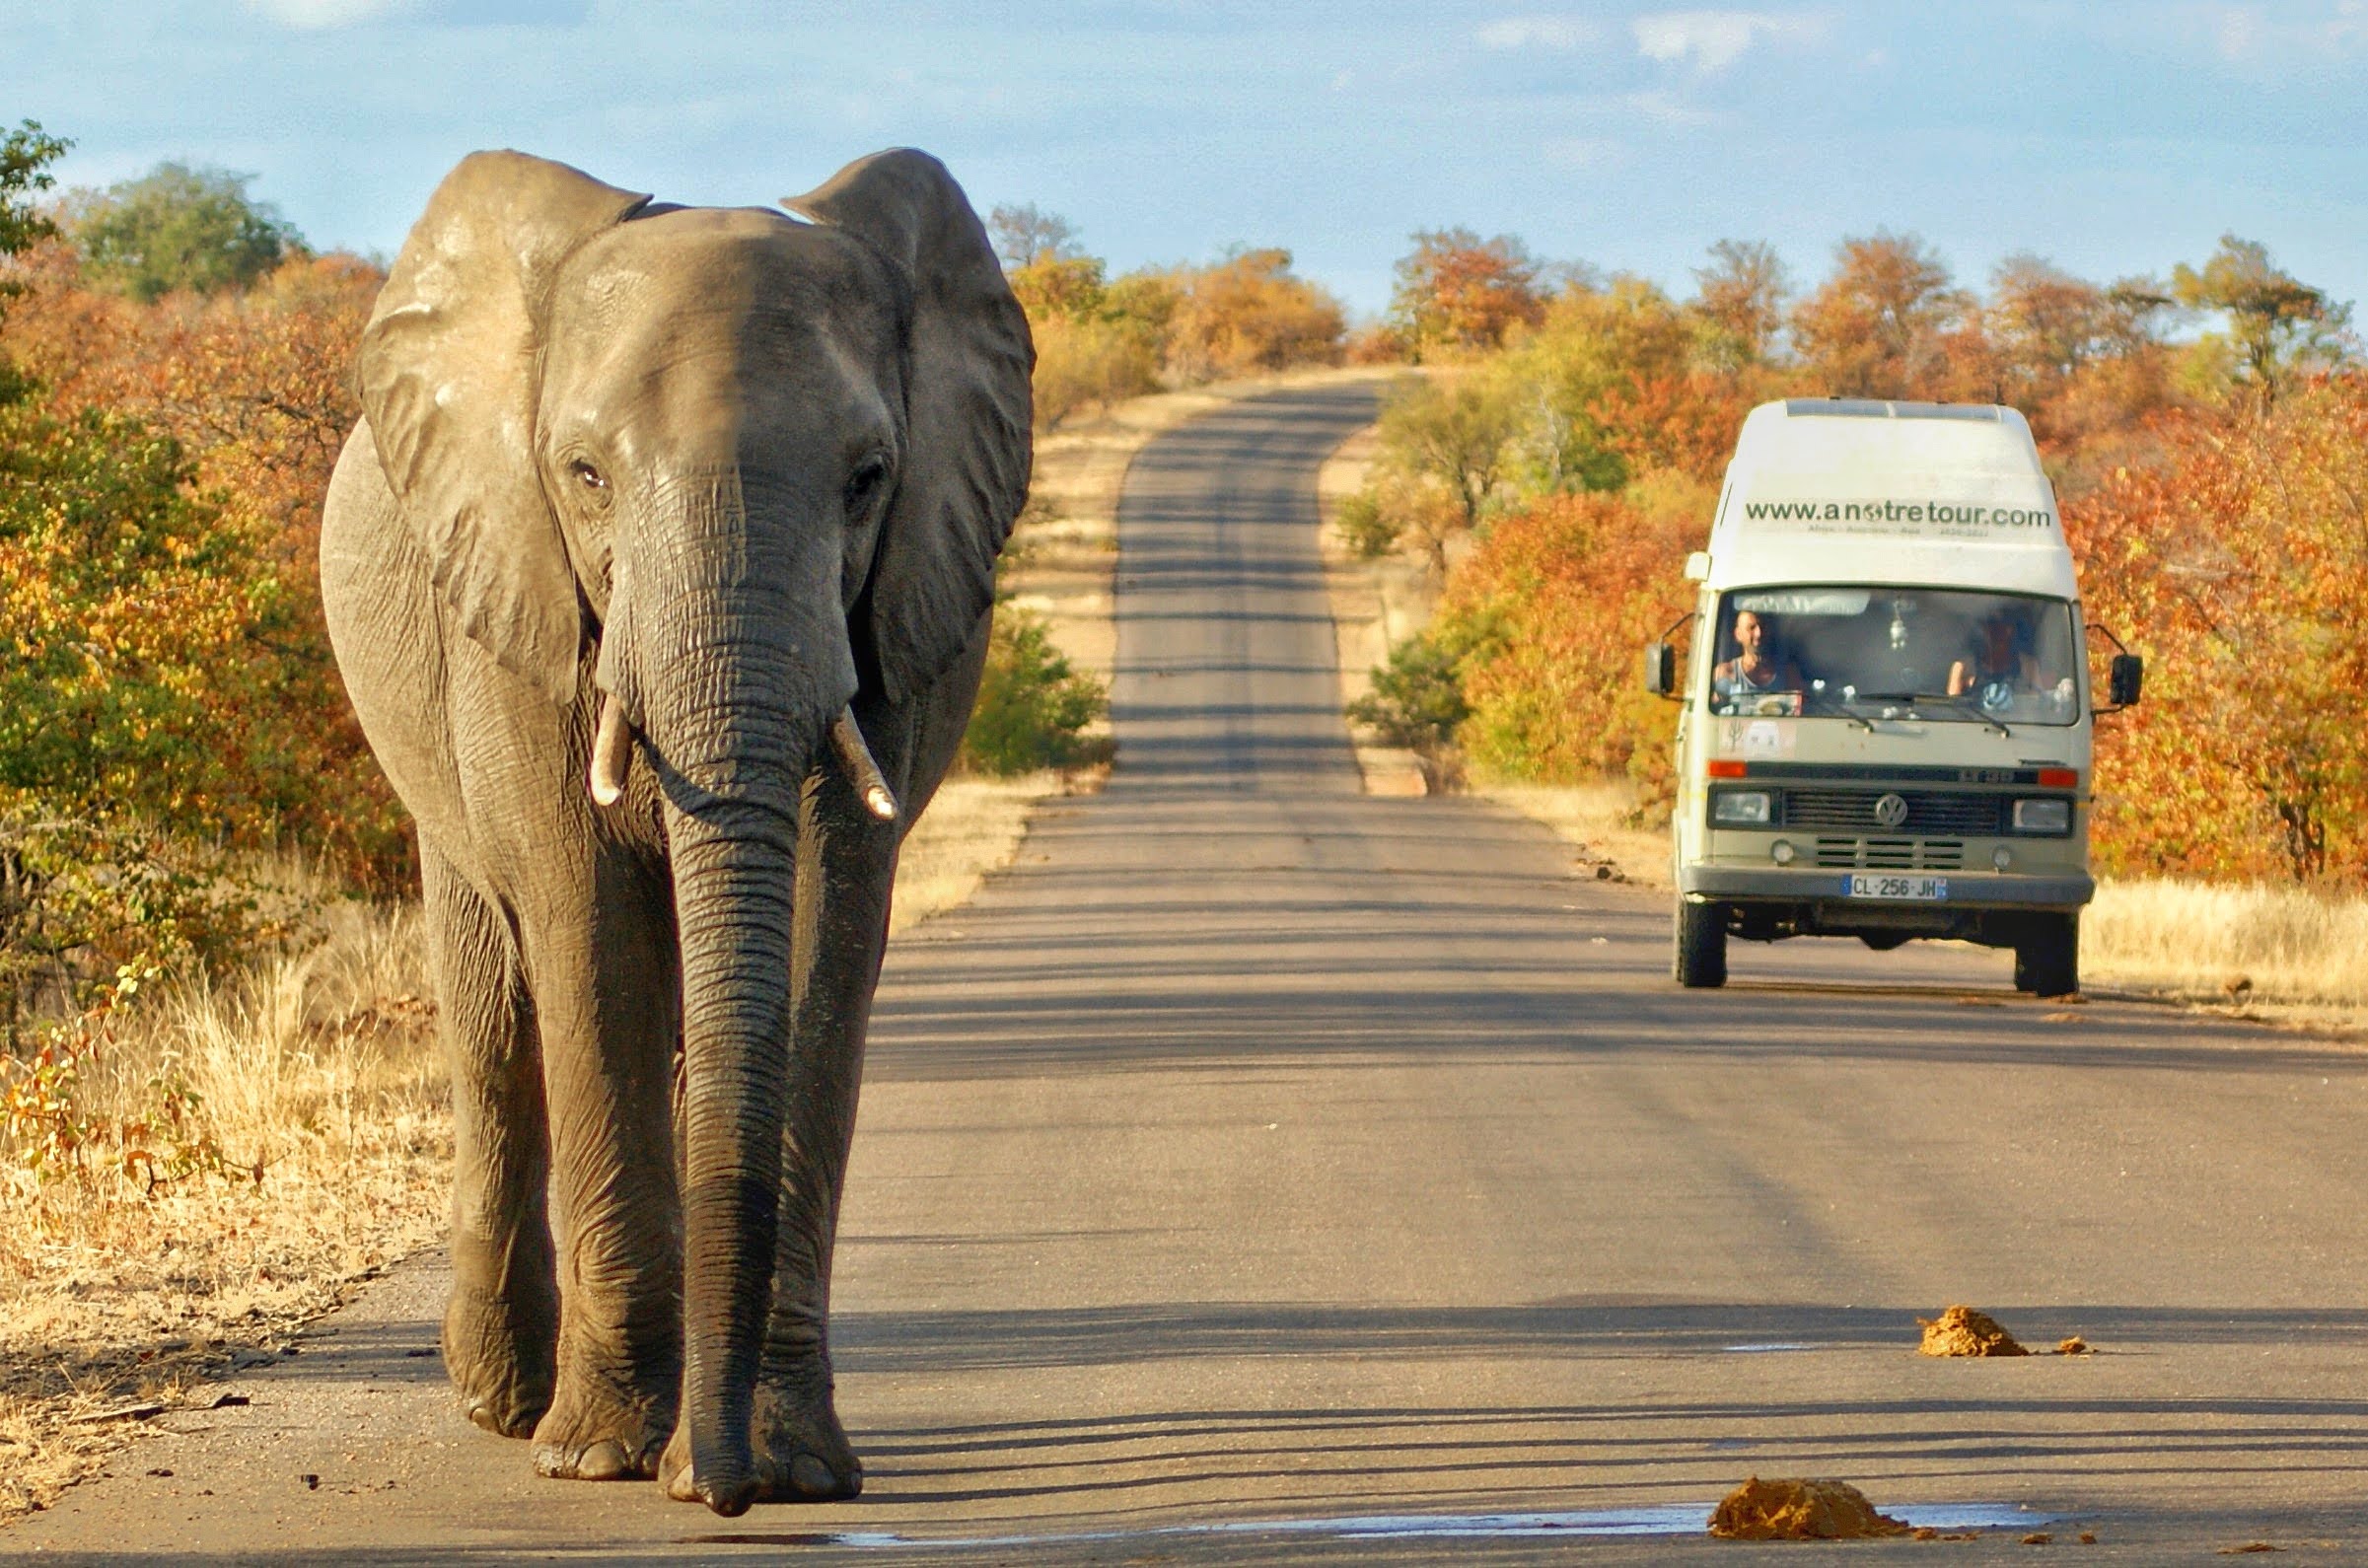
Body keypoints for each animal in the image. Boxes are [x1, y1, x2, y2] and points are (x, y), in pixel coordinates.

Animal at [318, 147, 1031, 1515]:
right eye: (584, 475)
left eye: (869, 478)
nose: (722, 1492)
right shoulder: (521, 600)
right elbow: (587, 940)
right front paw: (598, 1456)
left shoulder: (889, 622)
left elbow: (820, 941)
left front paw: (788, 1468)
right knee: (495, 1024)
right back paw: (502, 1403)